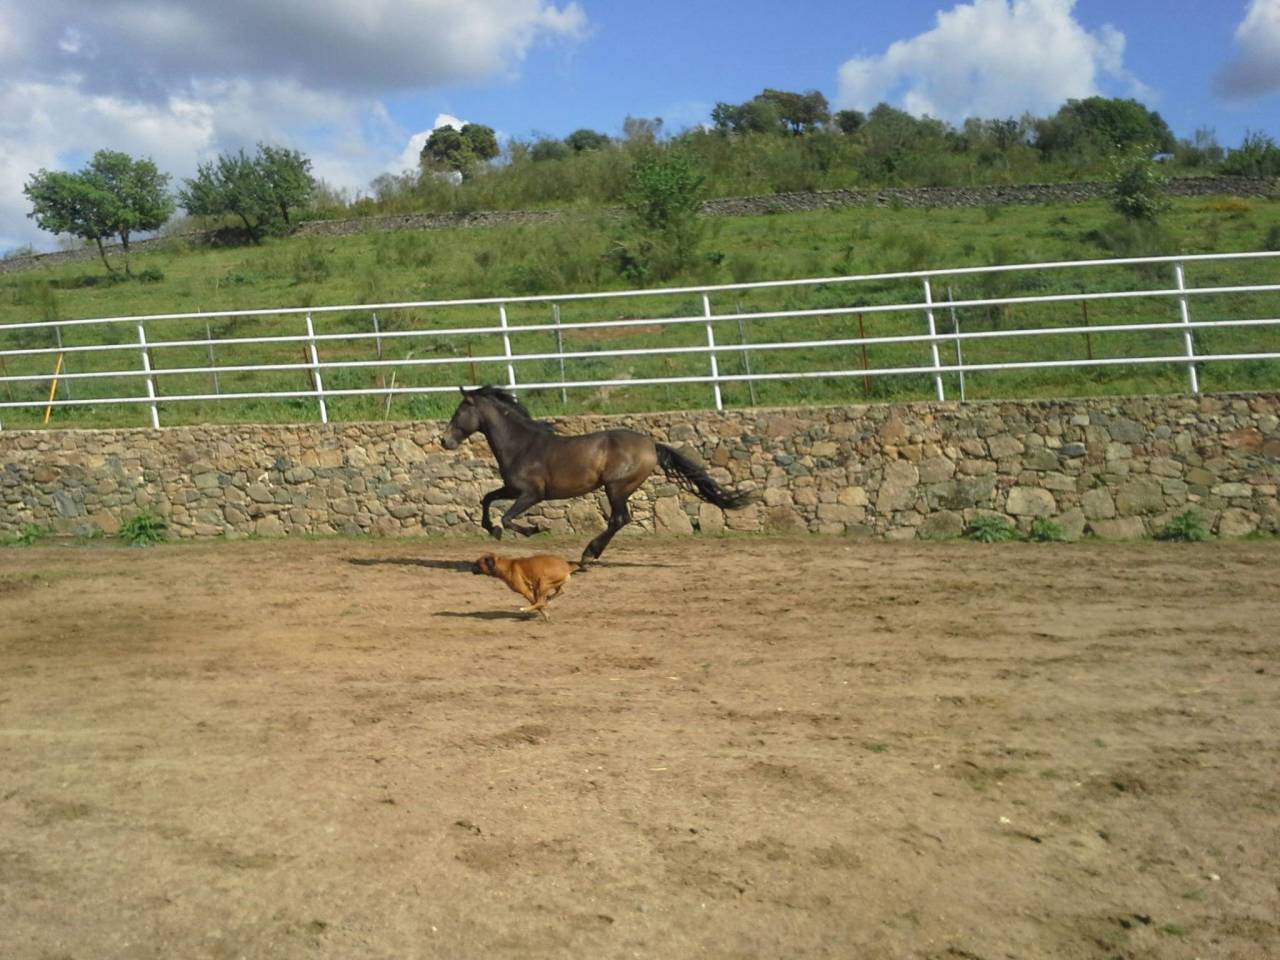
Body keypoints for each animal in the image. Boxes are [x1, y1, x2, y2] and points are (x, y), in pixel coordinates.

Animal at [440, 386, 750, 565]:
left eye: (459, 411)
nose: (445, 441)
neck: (522, 445)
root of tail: (651, 444)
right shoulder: (512, 489)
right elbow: (486, 499)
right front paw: (491, 529)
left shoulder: (532, 494)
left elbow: (506, 516)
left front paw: (533, 529)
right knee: (619, 519)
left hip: (616, 487)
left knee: (620, 519)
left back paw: (588, 555)